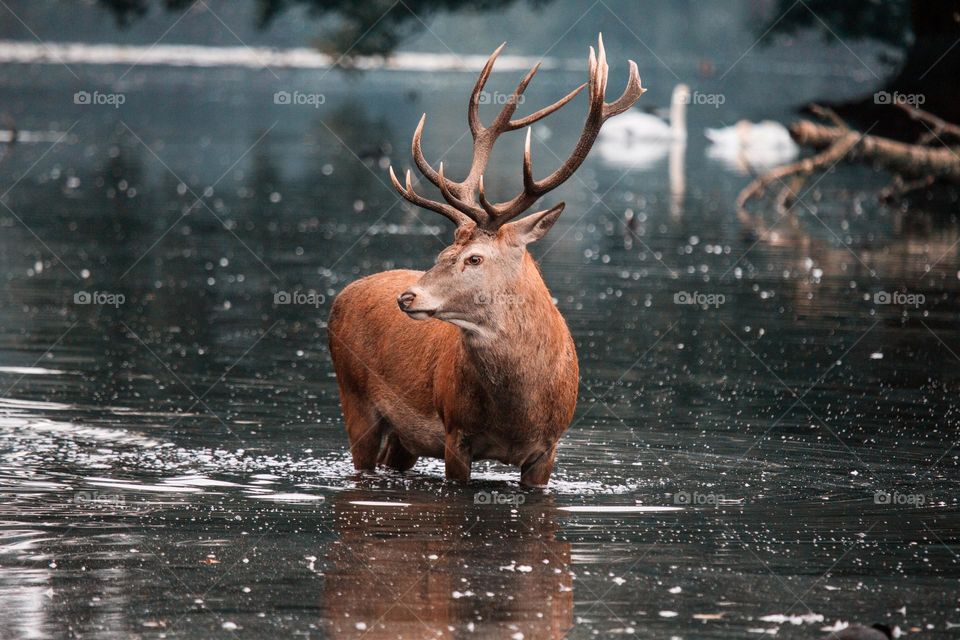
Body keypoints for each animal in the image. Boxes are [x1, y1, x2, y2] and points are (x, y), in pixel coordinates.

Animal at [328, 35, 645, 486]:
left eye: (474, 258)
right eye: (443, 252)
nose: (407, 297)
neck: (517, 414)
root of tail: (343, 295)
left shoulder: (549, 448)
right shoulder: (454, 433)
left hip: (403, 438)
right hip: (354, 398)